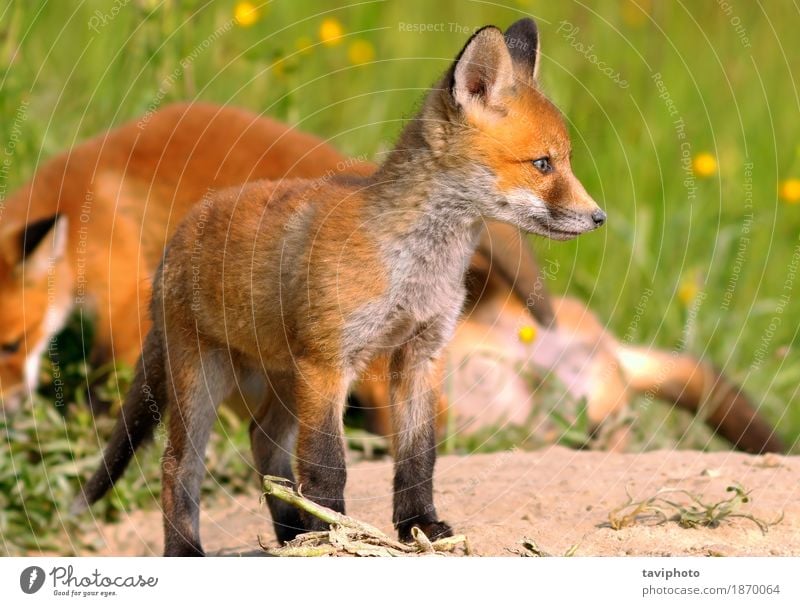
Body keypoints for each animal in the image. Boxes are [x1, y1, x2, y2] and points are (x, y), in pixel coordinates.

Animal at [73, 20, 776, 560]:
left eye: (566, 162)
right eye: (543, 164)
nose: (600, 218)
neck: (417, 267)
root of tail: (180, 234)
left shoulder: (419, 356)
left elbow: (418, 459)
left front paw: (419, 529)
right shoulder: (331, 365)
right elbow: (327, 465)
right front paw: (340, 535)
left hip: (275, 386)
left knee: (268, 457)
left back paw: (293, 537)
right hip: (202, 382)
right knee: (179, 470)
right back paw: (194, 551)